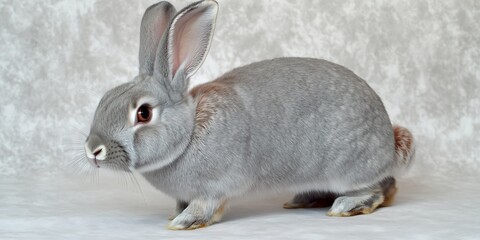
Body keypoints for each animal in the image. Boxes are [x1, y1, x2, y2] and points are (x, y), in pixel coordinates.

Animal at [82, 0, 412, 230]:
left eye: (144, 113)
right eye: (106, 98)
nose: (93, 150)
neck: (188, 133)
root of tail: (389, 141)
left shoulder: (215, 187)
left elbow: (204, 207)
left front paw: (183, 222)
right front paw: (174, 214)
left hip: (349, 168)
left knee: (382, 187)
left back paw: (346, 206)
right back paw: (304, 199)